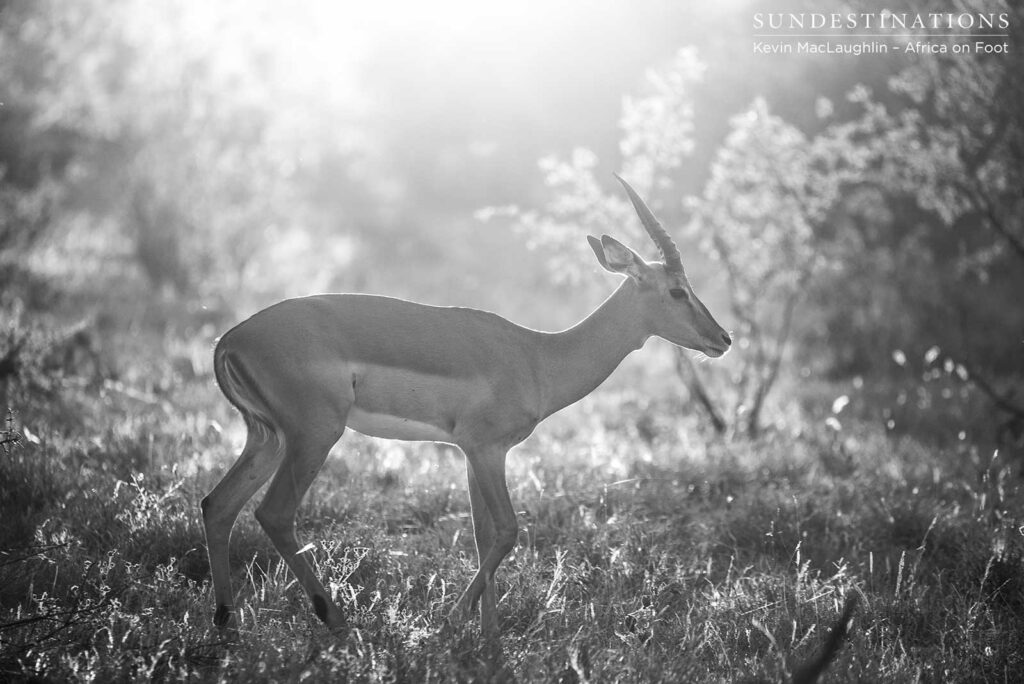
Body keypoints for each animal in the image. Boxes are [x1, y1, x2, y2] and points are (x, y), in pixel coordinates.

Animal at [201, 174, 731, 638]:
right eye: (677, 290)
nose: (723, 338)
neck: (538, 356)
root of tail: (230, 339)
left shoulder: (472, 454)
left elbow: (482, 536)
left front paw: (486, 636)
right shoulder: (486, 449)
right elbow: (507, 531)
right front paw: (452, 623)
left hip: (268, 436)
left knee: (217, 505)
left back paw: (227, 622)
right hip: (313, 436)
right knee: (274, 513)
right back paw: (335, 621)